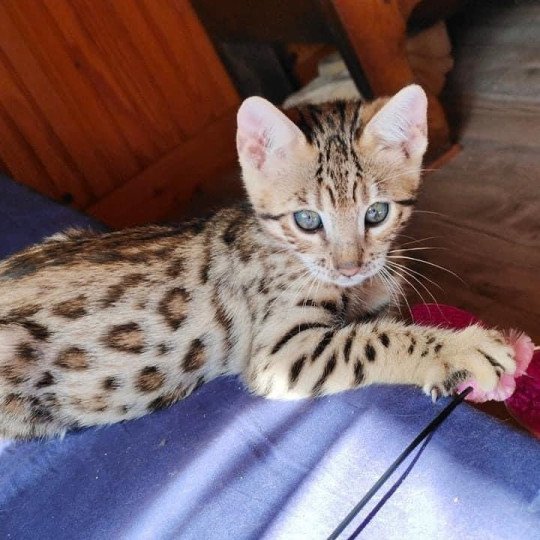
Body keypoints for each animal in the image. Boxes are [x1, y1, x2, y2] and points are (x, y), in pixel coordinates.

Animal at [0, 85, 516, 438]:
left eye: (376, 213)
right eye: (307, 220)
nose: (349, 267)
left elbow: (381, 316)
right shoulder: (280, 350)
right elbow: (374, 340)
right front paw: (461, 351)